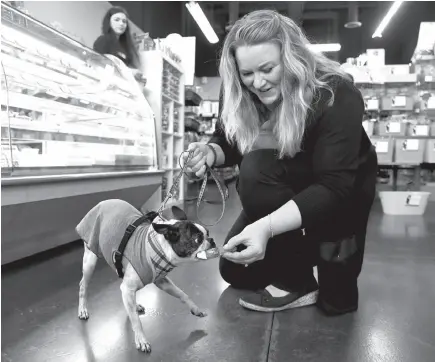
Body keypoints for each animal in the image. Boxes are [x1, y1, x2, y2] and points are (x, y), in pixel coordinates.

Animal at [76, 199, 218, 352]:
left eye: (208, 233)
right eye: (197, 239)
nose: (212, 240)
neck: (160, 247)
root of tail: (102, 202)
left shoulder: (162, 281)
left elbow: (182, 294)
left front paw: (195, 309)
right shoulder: (131, 287)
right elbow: (136, 320)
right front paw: (141, 340)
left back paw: (135, 305)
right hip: (90, 259)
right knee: (83, 285)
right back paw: (83, 309)